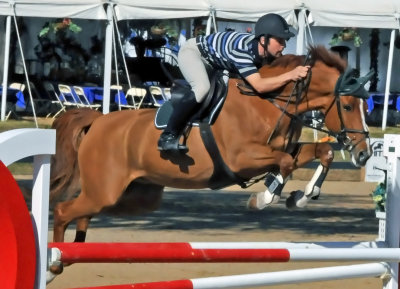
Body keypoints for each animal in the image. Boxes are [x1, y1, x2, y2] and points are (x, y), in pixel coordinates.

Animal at [49, 45, 372, 243]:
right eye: (347, 104)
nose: (364, 154)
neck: (267, 102)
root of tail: (98, 122)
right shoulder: (242, 159)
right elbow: (284, 164)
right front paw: (265, 197)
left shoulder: (286, 148)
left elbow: (321, 152)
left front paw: (302, 196)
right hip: (105, 191)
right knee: (64, 211)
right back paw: (55, 264)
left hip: (133, 196)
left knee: (83, 214)